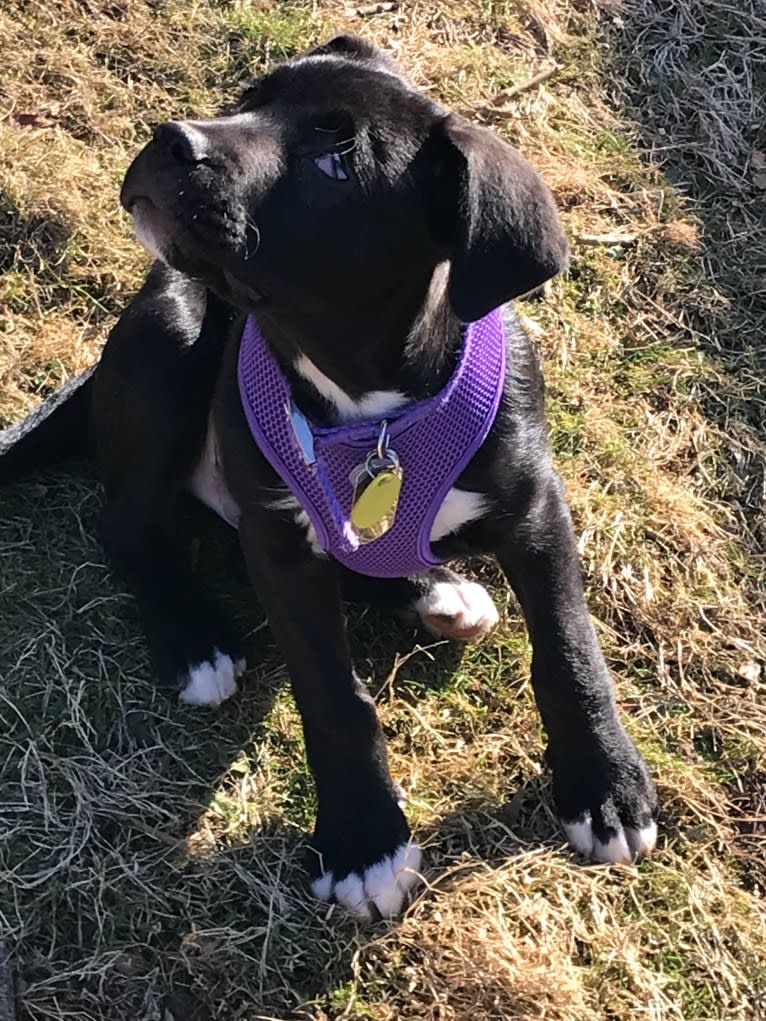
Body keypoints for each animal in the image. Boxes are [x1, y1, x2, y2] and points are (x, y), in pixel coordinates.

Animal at [0, 35, 661, 922]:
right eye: (249, 98)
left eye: (337, 157)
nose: (172, 139)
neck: (369, 404)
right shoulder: (281, 541)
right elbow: (334, 695)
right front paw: (363, 842)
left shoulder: (535, 505)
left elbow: (569, 647)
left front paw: (606, 784)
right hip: (174, 339)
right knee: (130, 526)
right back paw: (193, 637)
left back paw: (437, 592)